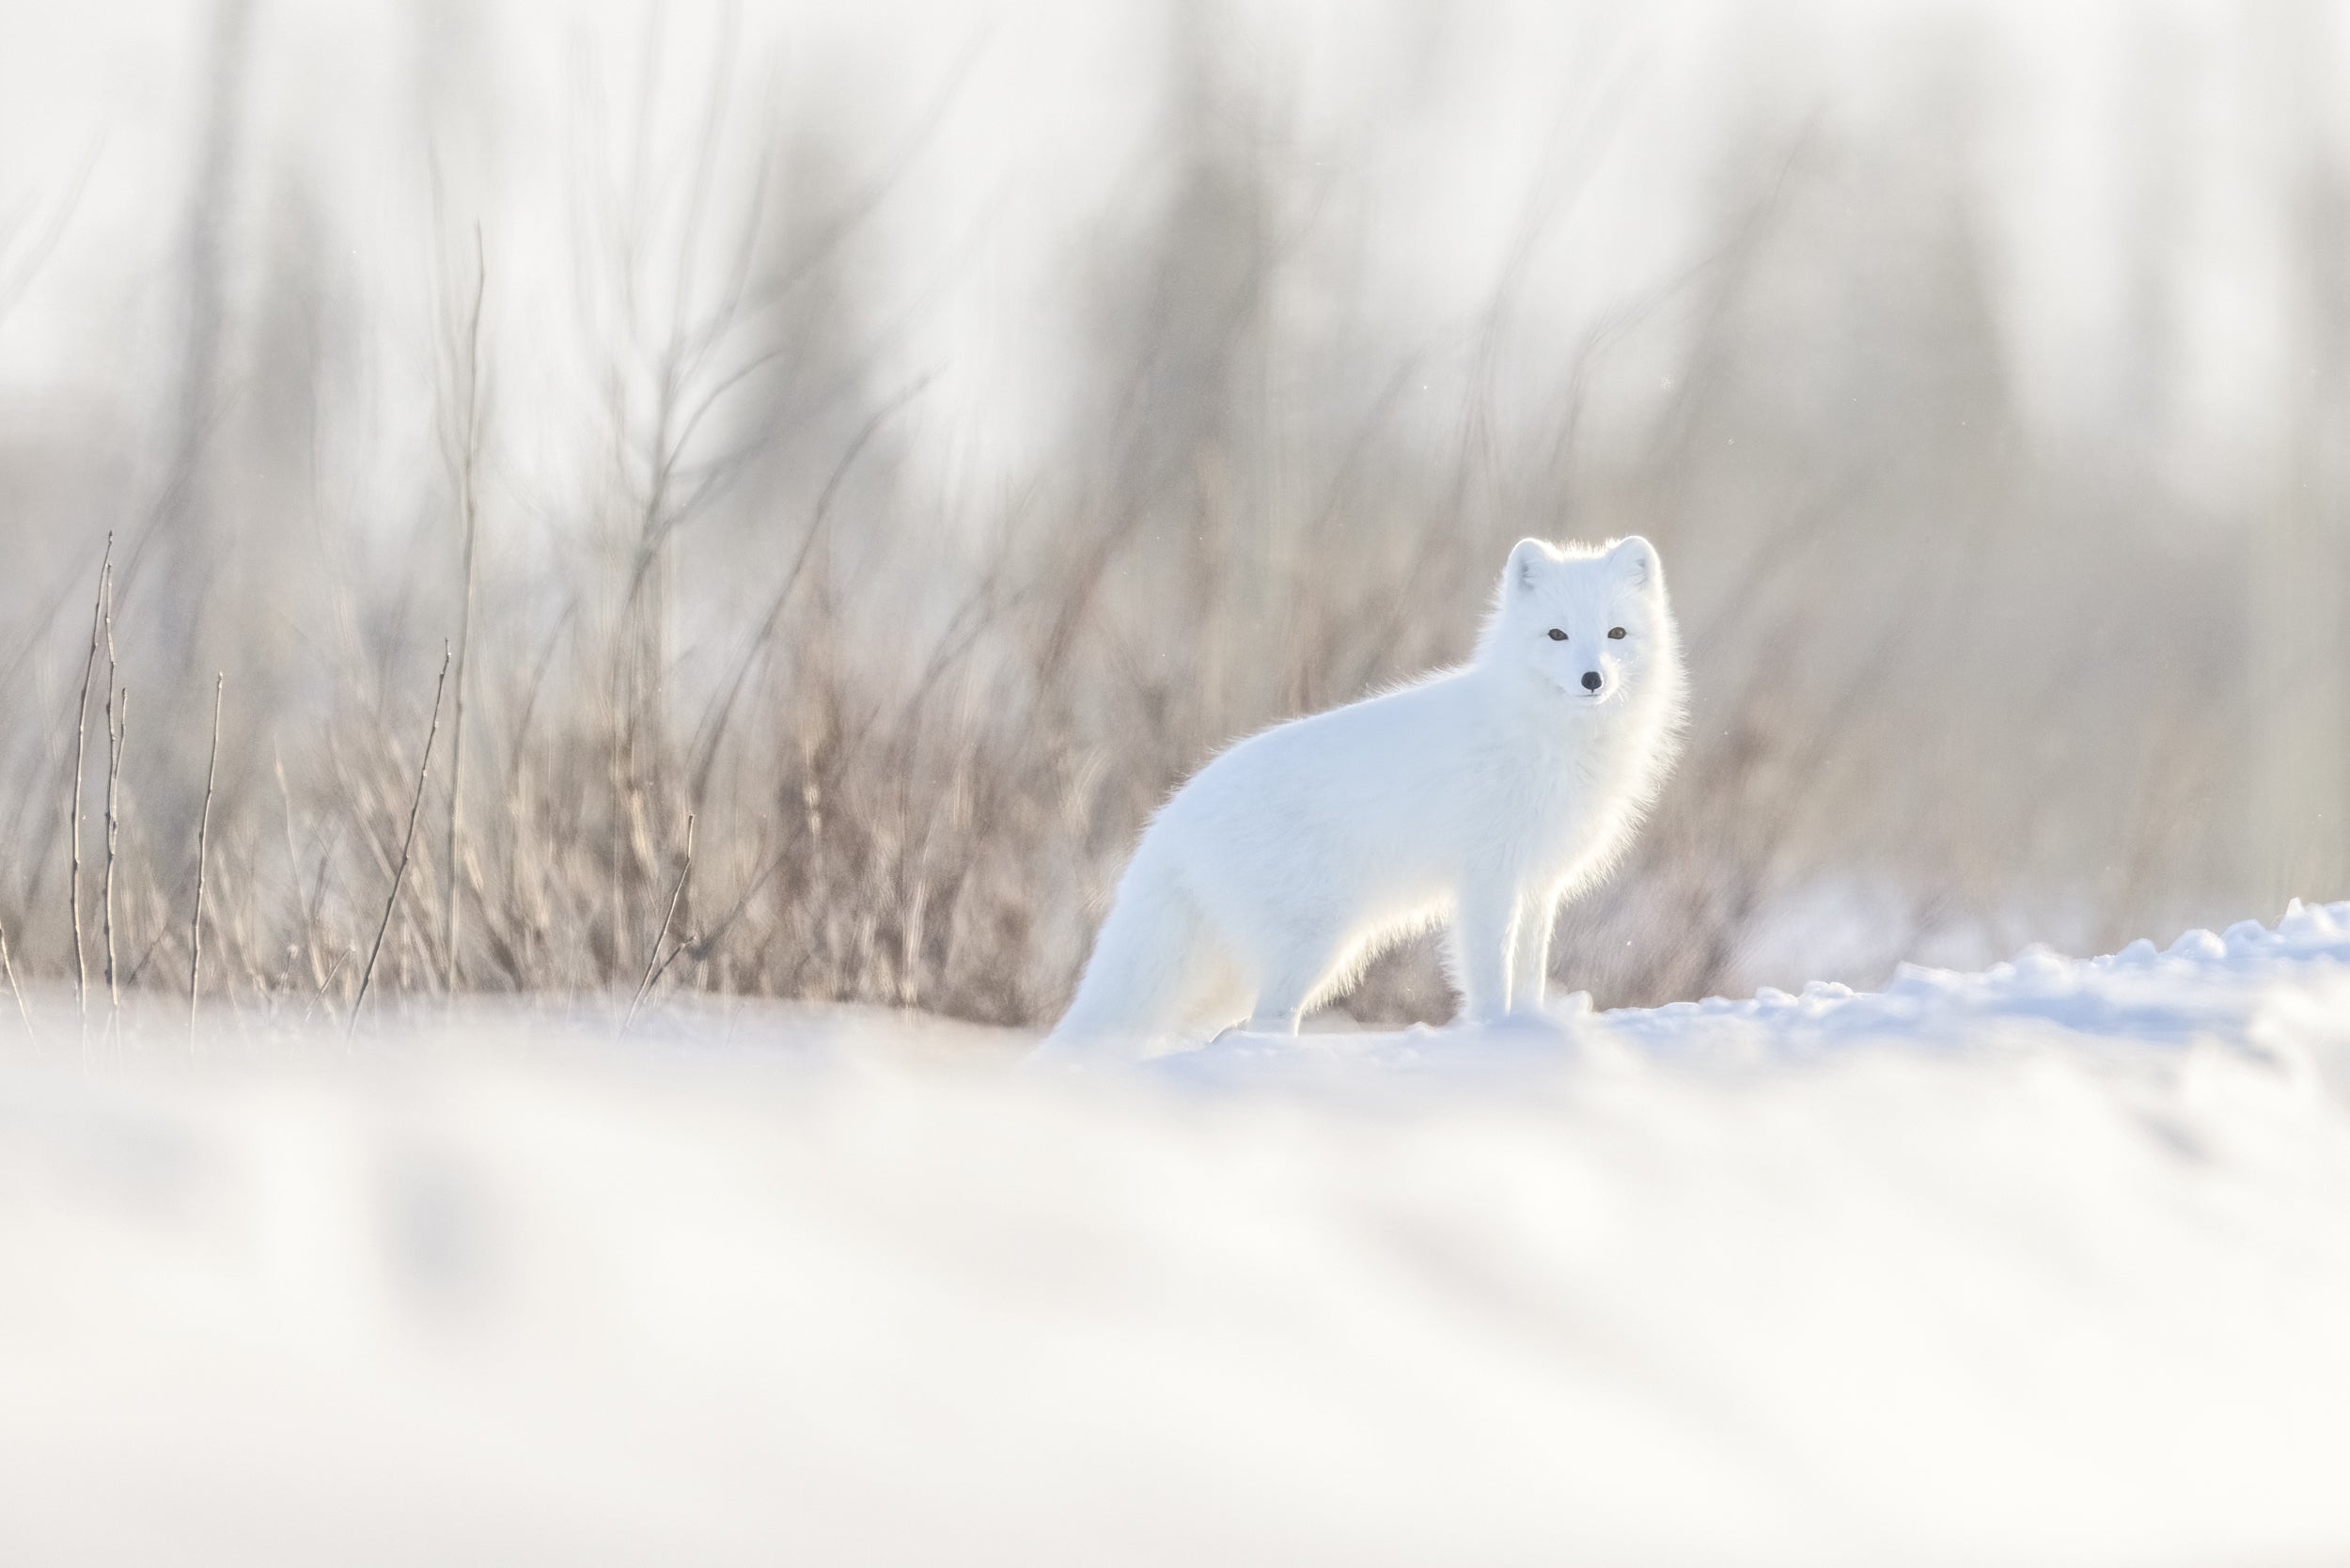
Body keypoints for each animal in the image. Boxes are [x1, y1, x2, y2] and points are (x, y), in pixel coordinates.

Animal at [1040, 534, 1687, 1058]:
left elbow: (1527, 974)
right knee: (1266, 1021)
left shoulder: (1538, 883)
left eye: (1616, 633)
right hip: (1313, 943)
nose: (1593, 679)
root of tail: (1171, 819)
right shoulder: (1488, 881)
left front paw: (1529, 1029)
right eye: (1556, 634)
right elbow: (1489, 978)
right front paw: (1497, 1039)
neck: (1550, 738)